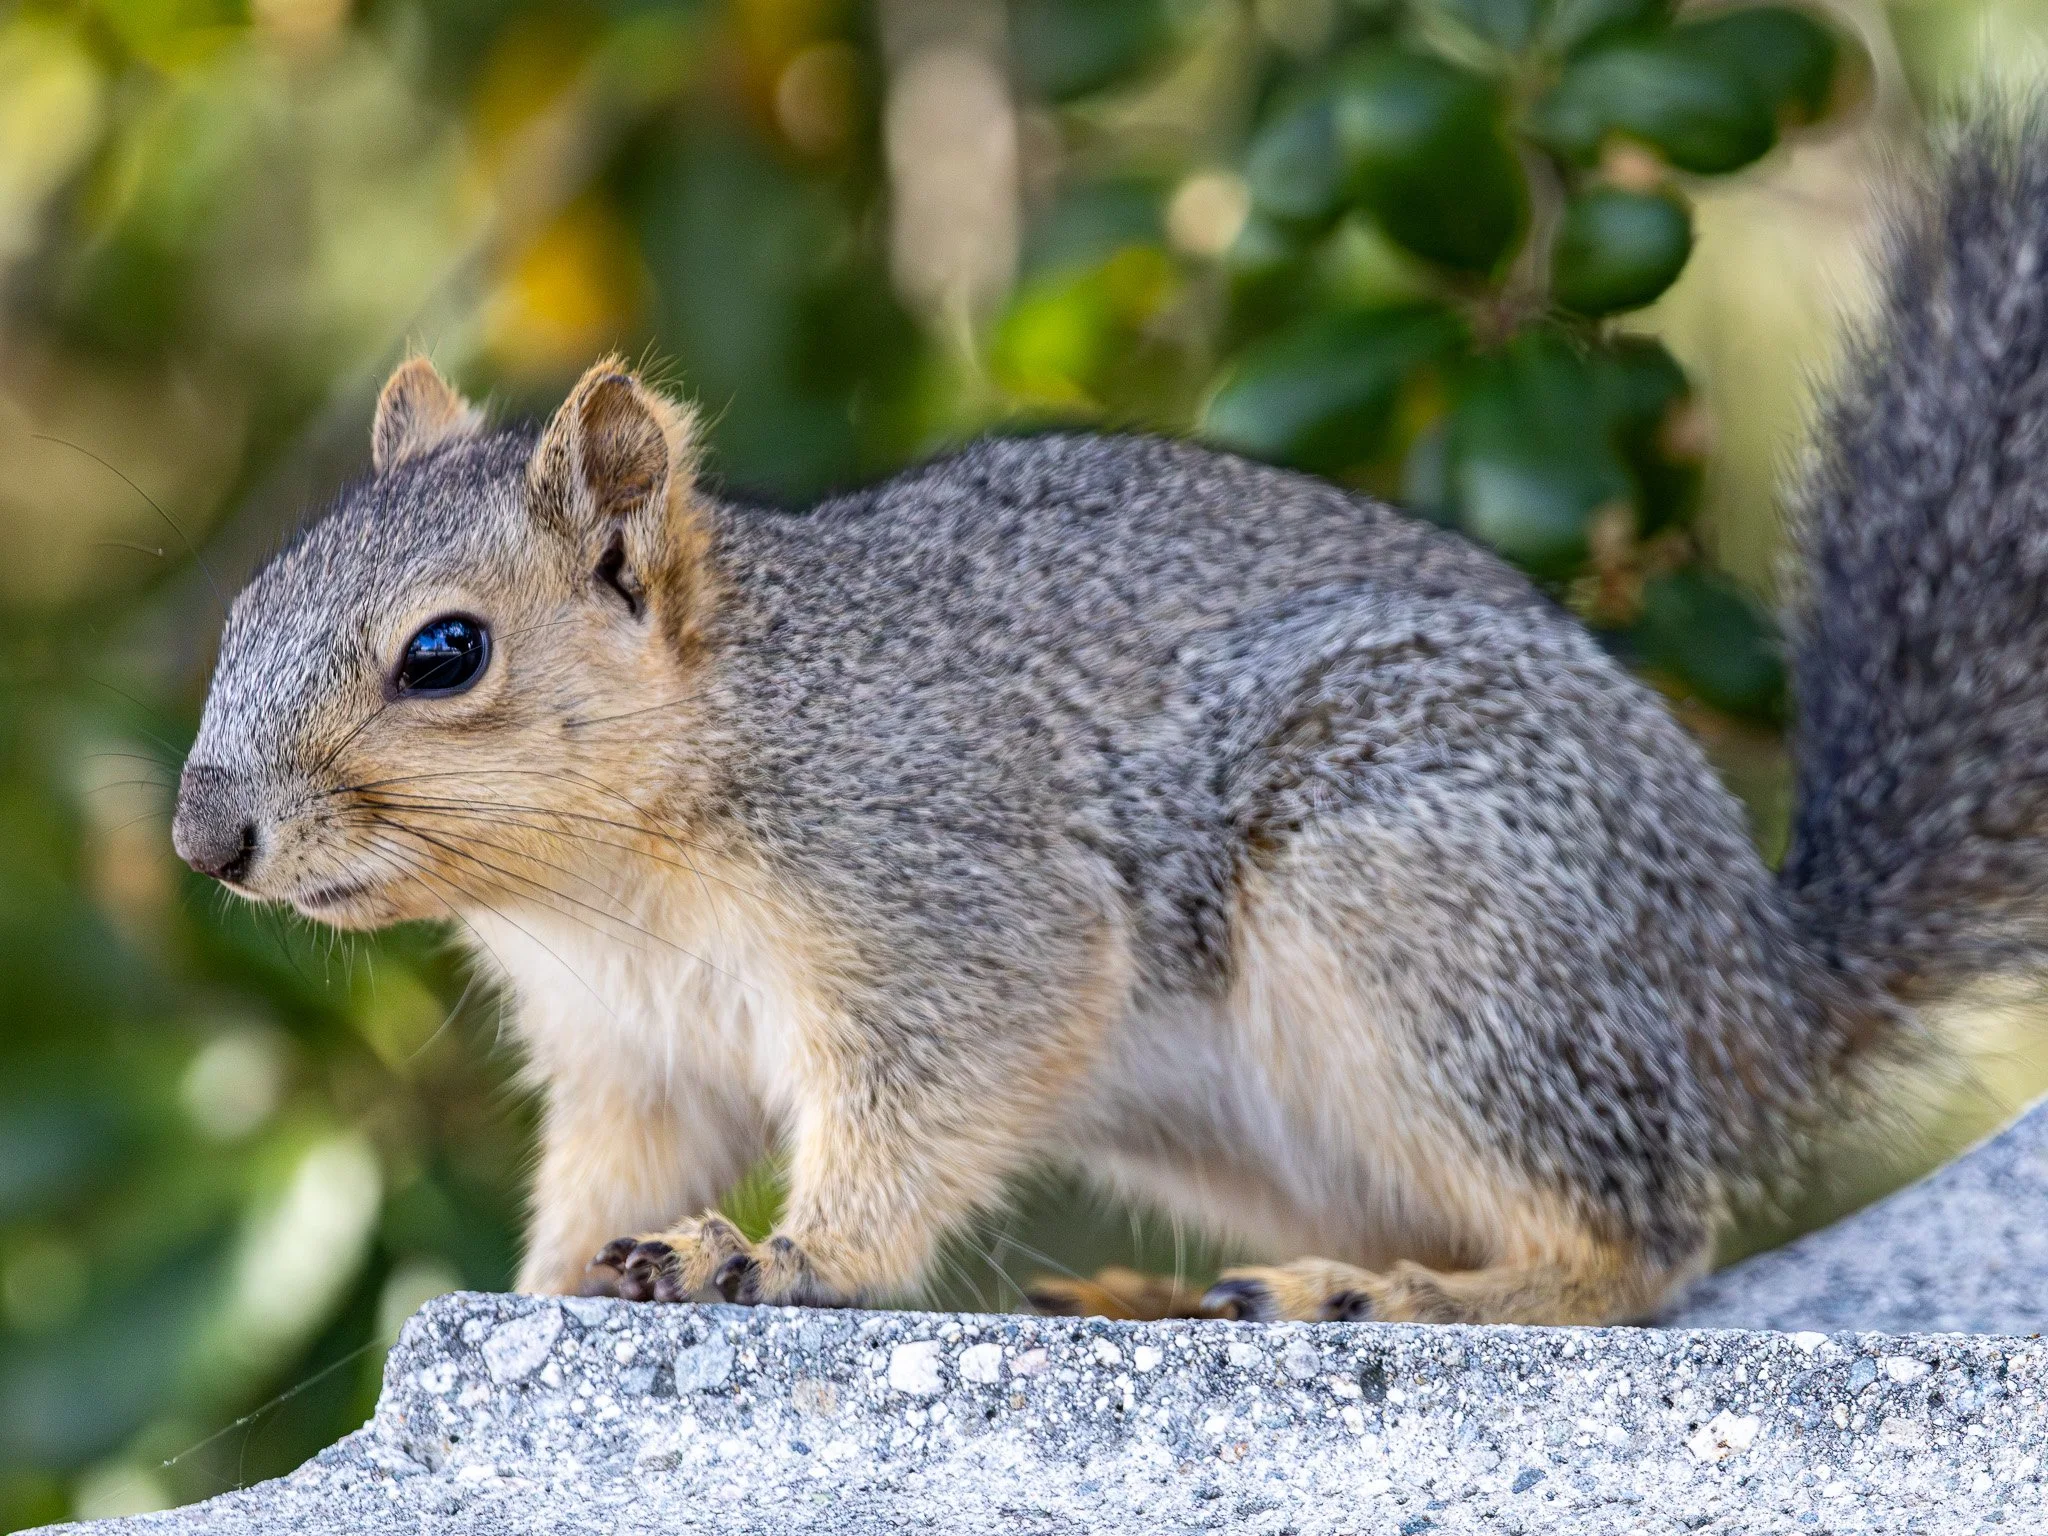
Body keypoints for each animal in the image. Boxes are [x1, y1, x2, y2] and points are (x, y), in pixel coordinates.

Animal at [171, 116, 2048, 1327]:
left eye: (445, 653)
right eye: (248, 604)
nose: (206, 834)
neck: (605, 877)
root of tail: (1762, 994)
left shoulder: (948, 894)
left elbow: (934, 1088)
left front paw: (785, 1257)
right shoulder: (631, 1052)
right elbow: (602, 1186)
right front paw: (548, 1287)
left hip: (1433, 913)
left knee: (1643, 1247)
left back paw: (1387, 1298)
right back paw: (1166, 1293)